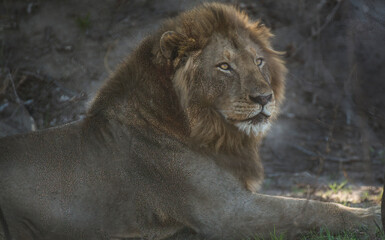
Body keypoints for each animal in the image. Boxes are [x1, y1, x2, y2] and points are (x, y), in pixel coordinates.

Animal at [0, 2, 378, 240]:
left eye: (258, 61)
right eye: (224, 66)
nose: (264, 98)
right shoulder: (227, 212)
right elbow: (306, 208)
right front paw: (371, 215)